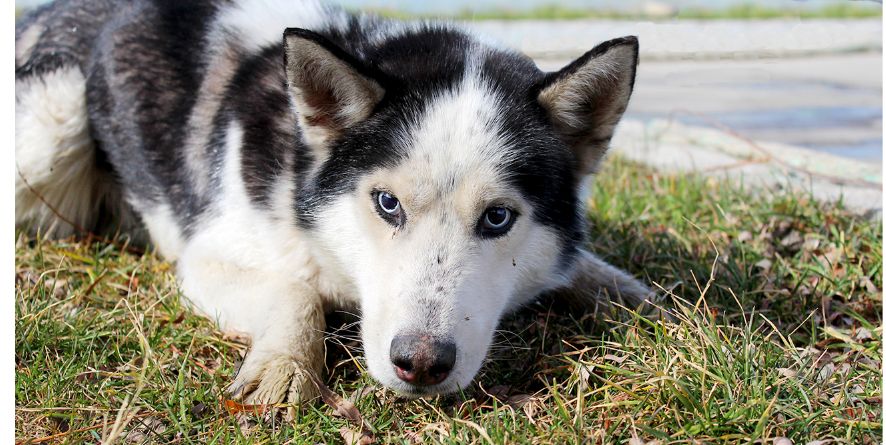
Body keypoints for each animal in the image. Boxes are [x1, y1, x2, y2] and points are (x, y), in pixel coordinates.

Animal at [13, 0, 652, 402]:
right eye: (387, 203)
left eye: (498, 218)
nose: (421, 362)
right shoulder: (209, 256)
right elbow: (295, 291)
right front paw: (285, 367)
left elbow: (590, 272)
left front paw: (647, 301)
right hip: (52, 127)